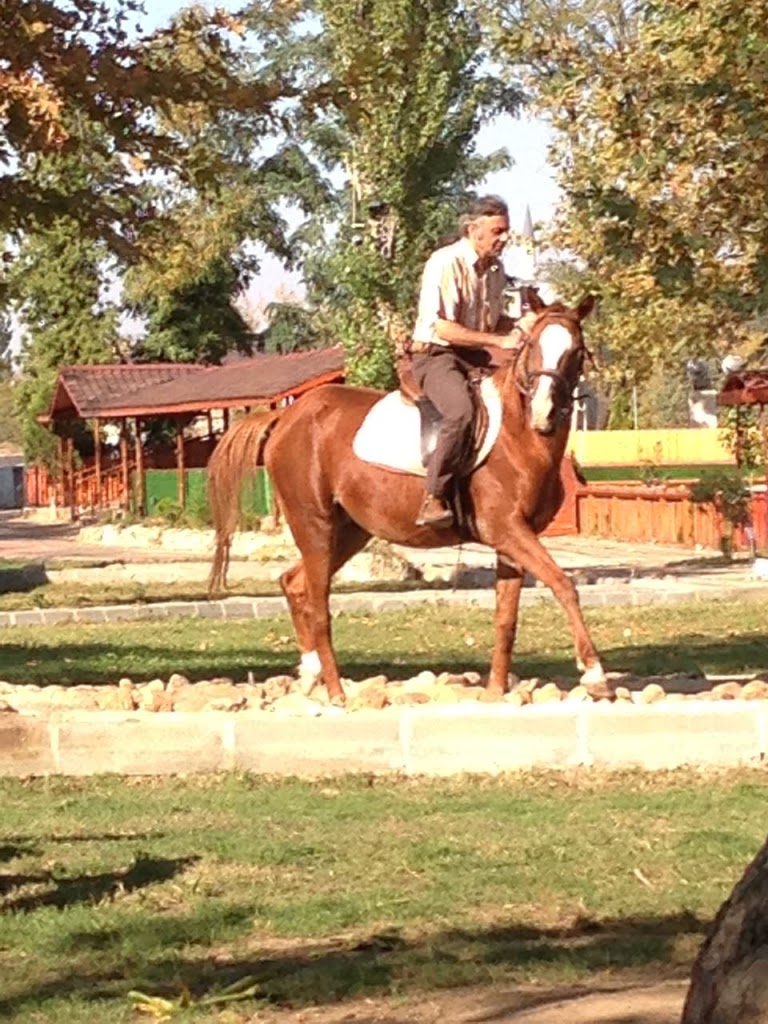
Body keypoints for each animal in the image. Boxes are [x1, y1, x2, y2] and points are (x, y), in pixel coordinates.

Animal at [208, 292, 606, 700]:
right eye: (532, 346)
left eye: (575, 351)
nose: (543, 415)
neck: (519, 437)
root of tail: (285, 419)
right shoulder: (506, 530)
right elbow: (564, 584)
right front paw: (594, 673)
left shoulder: (511, 542)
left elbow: (506, 618)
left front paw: (496, 689)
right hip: (313, 524)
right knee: (319, 607)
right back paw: (336, 693)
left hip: (349, 532)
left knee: (294, 583)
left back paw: (311, 672)